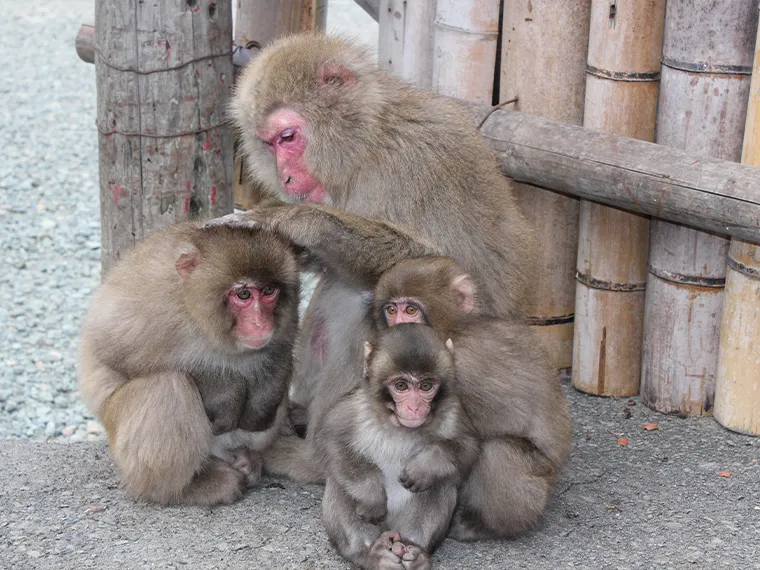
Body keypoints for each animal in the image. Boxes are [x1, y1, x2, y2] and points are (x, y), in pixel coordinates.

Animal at [78, 221, 300, 502]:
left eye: (269, 291)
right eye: (244, 294)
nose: (262, 323)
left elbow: (282, 346)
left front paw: (263, 397)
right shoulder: (151, 295)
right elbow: (107, 345)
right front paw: (226, 392)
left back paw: (248, 459)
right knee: (167, 386)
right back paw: (187, 488)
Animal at [320, 324, 476, 568]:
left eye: (426, 386)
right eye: (401, 386)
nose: (414, 408)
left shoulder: (453, 409)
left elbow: (468, 446)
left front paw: (425, 466)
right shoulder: (356, 407)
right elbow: (333, 440)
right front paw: (370, 494)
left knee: (441, 483)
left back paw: (416, 551)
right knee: (338, 482)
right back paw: (371, 554)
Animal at [374, 258, 568, 536]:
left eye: (410, 310)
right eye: (391, 310)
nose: (399, 326)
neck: (455, 329)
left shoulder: (458, 367)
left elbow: (470, 437)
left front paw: (431, 464)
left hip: (538, 484)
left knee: (499, 452)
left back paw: (488, 526)